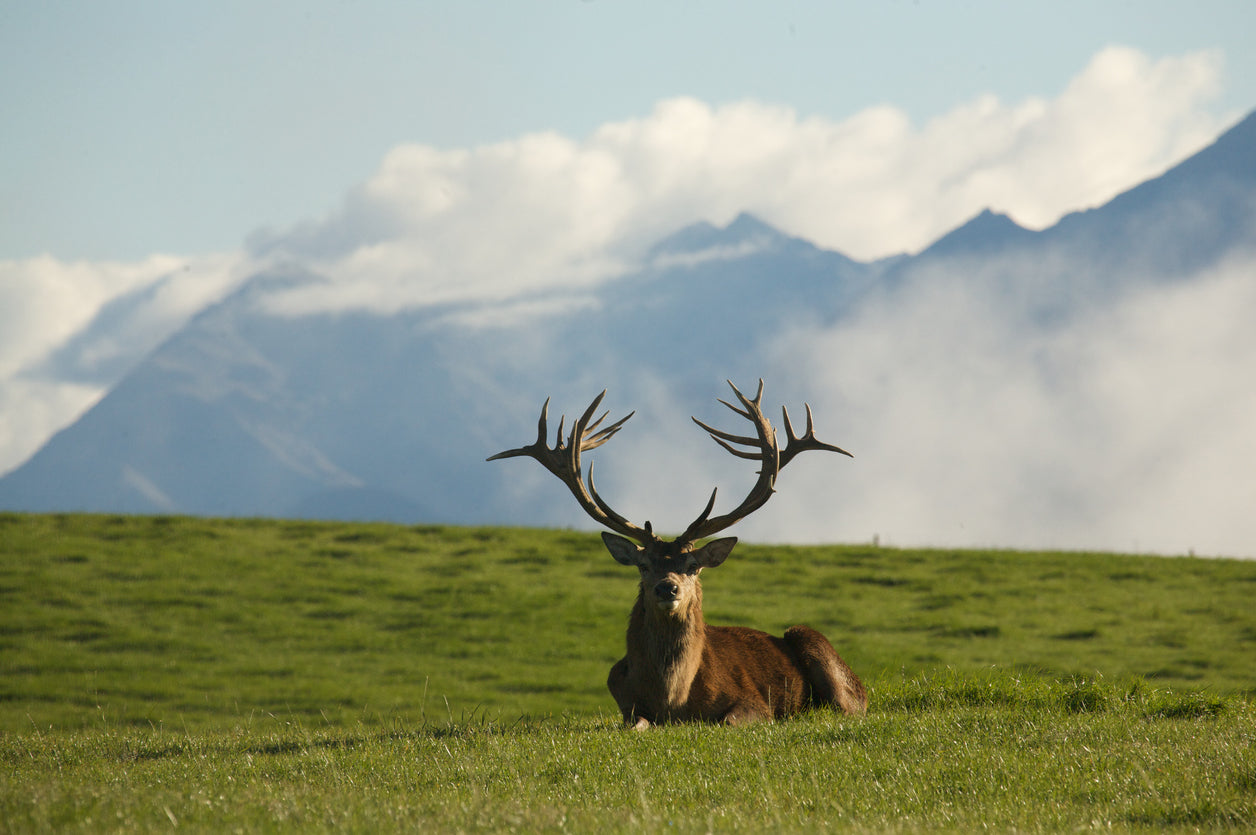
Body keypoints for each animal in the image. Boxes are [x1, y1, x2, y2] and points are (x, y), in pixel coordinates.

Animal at [487, 381, 864, 728]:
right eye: (642, 565)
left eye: (693, 565)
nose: (667, 588)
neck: (673, 701)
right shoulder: (625, 703)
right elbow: (636, 723)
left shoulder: (755, 701)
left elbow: (727, 720)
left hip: (819, 651)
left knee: (845, 706)